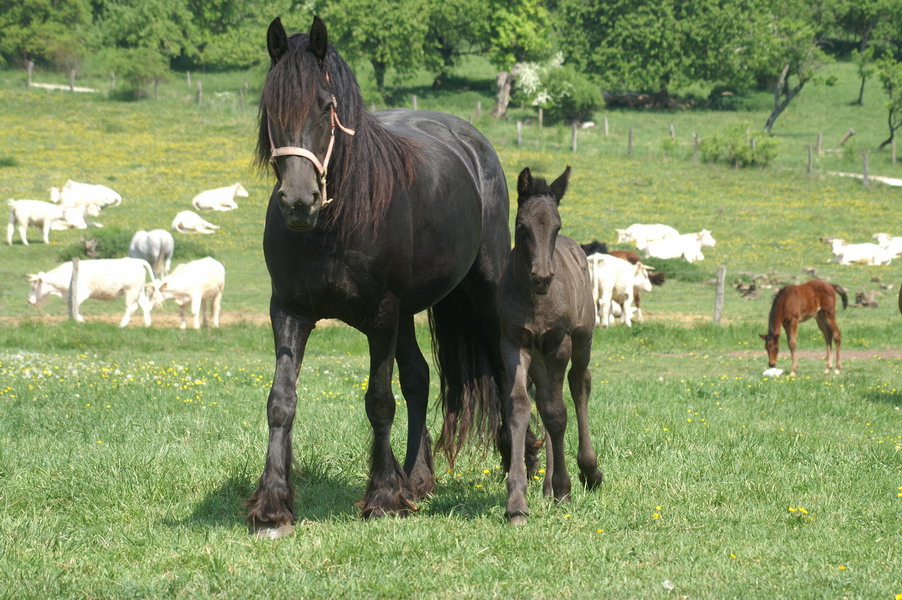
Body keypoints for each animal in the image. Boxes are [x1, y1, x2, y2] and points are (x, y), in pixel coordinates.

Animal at [26, 256, 157, 326]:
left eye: (34, 287)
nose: (29, 301)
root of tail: (137, 261)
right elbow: (72, 306)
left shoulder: (80, 294)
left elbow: (74, 306)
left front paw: (79, 319)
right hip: (139, 291)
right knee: (145, 307)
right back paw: (147, 325)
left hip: (131, 291)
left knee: (131, 308)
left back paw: (122, 325)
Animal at [247, 17, 520, 536]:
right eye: (270, 107)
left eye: (326, 106)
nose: (298, 201)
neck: (334, 225)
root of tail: (472, 142)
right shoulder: (289, 312)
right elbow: (280, 401)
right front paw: (273, 506)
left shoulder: (381, 317)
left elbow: (378, 400)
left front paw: (382, 498)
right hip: (409, 313)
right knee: (419, 378)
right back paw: (416, 479)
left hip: (486, 292)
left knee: (505, 373)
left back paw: (524, 466)